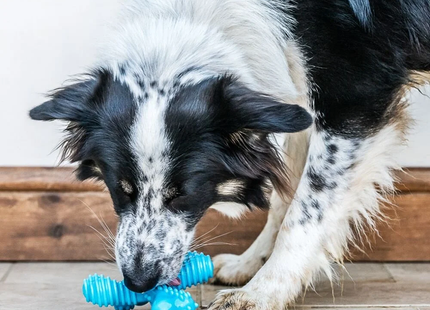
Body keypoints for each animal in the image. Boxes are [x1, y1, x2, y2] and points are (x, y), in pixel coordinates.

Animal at [28, 1, 428, 308]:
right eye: (120, 189)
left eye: (183, 194)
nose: (138, 283)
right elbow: (286, 197)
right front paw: (250, 264)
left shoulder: (356, 100)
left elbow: (307, 209)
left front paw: (263, 292)